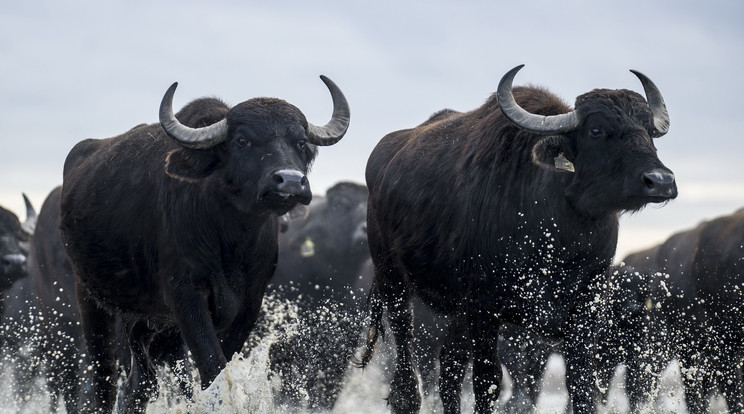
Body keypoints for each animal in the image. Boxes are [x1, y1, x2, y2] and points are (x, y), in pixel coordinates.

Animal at [58, 76, 348, 412]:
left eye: (300, 141)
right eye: (242, 140)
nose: (289, 181)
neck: (231, 242)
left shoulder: (250, 303)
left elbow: (220, 367)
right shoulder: (186, 297)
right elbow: (214, 372)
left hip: (151, 323)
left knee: (139, 384)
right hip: (91, 300)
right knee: (104, 380)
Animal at [358, 65, 676, 414]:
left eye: (649, 131)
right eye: (596, 130)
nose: (661, 181)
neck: (557, 238)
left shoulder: (586, 306)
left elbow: (581, 383)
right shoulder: (484, 306)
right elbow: (487, 381)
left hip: (457, 310)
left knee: (450, 367)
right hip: (392, 280)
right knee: (406, 364)